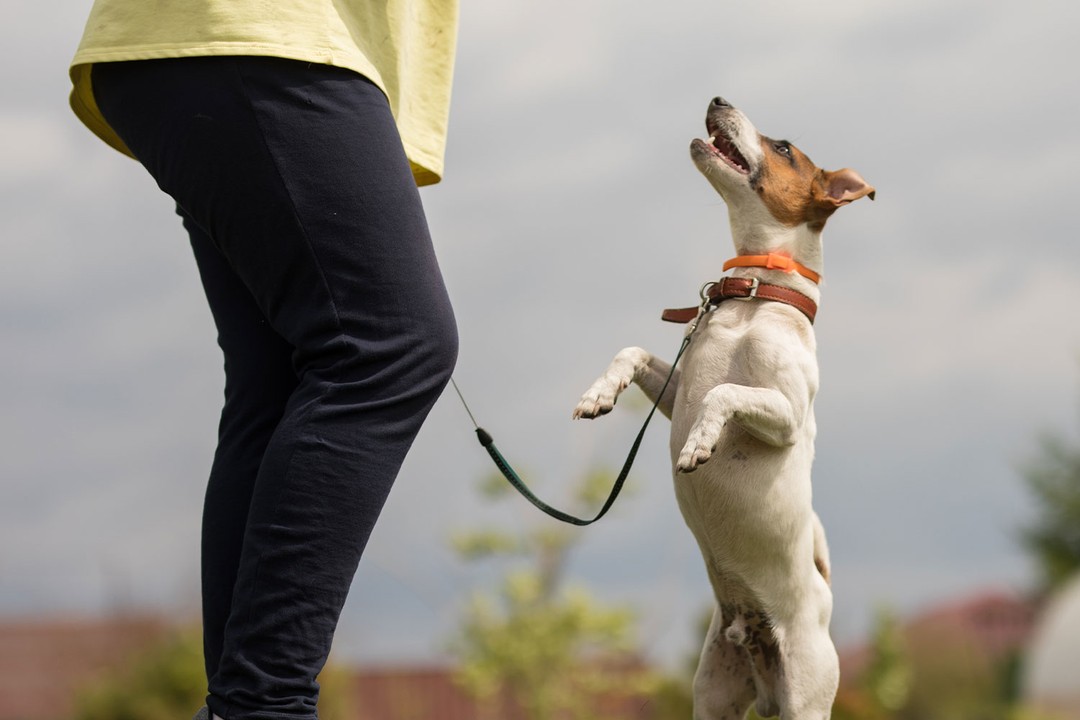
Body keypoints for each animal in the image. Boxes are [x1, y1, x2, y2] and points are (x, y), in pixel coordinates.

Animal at [570, 97, 872, 720]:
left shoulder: (786, 416)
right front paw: (599, 394)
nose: (717, 100)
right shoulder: (677, 388)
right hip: (712, 696)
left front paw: (700, 444)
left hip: (808, 699)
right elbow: (634, 352)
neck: (753, 297)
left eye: (783, 148)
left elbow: (724, 394)